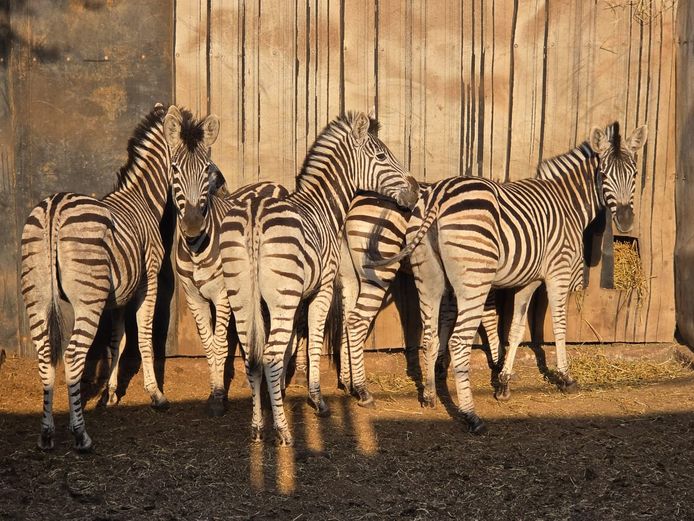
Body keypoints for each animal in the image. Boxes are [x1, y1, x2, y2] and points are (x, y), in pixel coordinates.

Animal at [20, 104, 219, 451]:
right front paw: (155, 394)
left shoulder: (118, 294)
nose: (194, 226)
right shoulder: (148, 281)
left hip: (38, 295)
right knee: (73, 356)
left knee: (45, 355)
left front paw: (110, 393)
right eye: (176, 170)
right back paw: (81, 435)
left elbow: (117, 338)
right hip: (87, 299)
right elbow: (143, 335)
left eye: (205, 170)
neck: (142, 198)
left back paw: (46, 434)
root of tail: (54, 208)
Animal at [173, 166, 288, 416]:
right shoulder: (194, 297)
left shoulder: (223, 296)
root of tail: (275, 184)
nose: (192, 225)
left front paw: (218, 397)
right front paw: (213, 391)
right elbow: (208, 343)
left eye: (207, 174)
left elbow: (220, 345)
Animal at [215, 111, 418, 446]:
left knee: (252, 357)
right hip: (281, 297)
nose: (413, 193)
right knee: (269, 357)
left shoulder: (287, 298)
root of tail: (255, 213)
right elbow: (312, 342)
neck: (323, 206)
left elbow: (294, 341)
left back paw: (257, 429)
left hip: (241, 295)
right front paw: (317, 399)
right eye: (381, 156)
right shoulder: (320, 289)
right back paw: (283, 431)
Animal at [369, 123, 647, 433]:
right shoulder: (558, 272)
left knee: (430, 337)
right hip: (474, 281)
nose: (626, 221)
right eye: (604, 174)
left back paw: (429, 395)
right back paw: (471, 415)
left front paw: (503, 383)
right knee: (457, 342)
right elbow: (559, 326)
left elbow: (515, 330)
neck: (567, 204)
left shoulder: (529, 281)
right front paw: (566, 378)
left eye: (634, 174)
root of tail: (438, 193)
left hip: (427, 277)